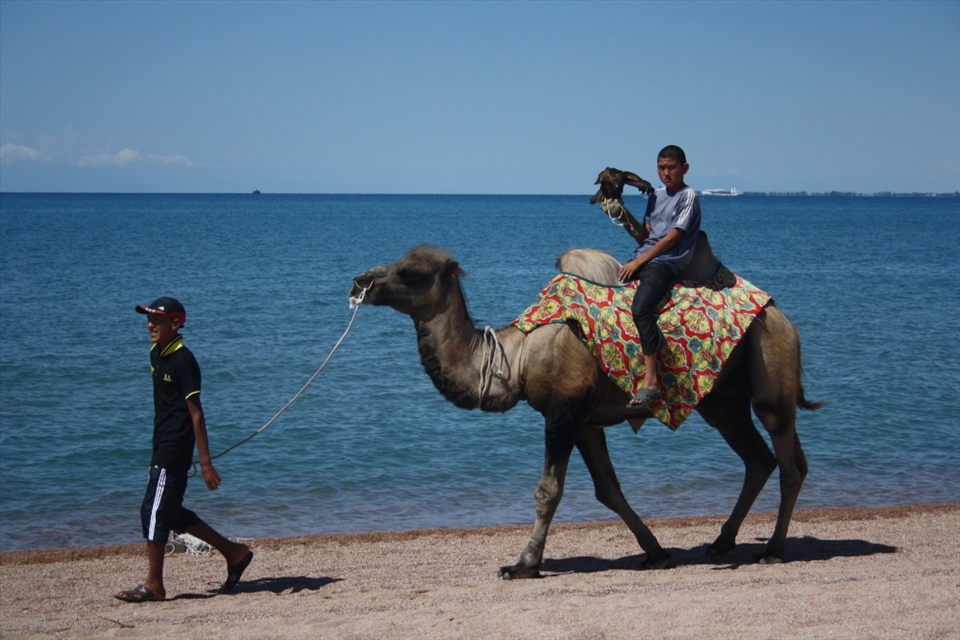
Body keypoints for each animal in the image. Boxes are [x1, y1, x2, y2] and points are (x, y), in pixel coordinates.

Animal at [349, 242, 822, 579]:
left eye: (410, 272)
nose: (359, 281)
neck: (518, 356)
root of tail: (785, 319)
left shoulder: (563, 410)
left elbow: (548, 491)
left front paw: (523, 564)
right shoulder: (585, 421)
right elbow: (608, 490)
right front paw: (657, 553)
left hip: (770, 373)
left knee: (787, 460)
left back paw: (772, 551)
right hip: (723, 402)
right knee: (759, 458)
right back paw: (722, 543)